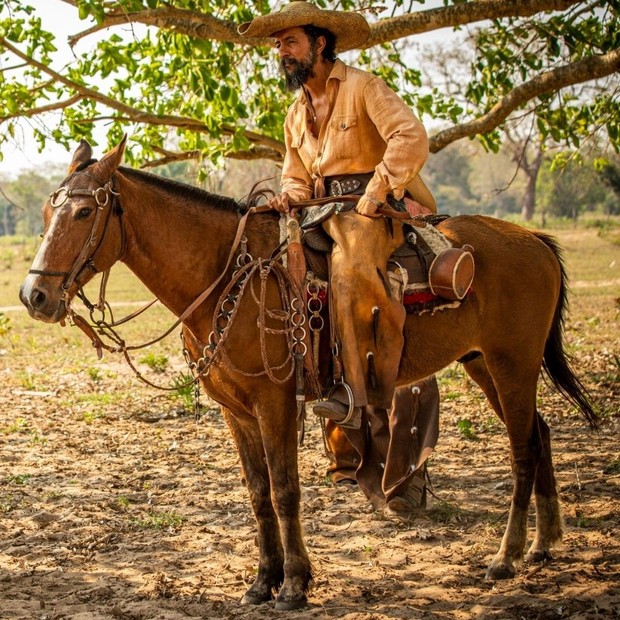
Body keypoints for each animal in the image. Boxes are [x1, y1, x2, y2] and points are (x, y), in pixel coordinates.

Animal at [21, 137, 600, 612]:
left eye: (81, 212)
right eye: (48, 209)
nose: (34, 296)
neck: (227, 275)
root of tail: (534, 240)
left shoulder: (274, 401)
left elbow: (284, 491)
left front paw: (296, 584)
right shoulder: (236, 412)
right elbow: (257, 493)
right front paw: (262, 581)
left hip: (511, 362)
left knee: (523, 447)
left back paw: (507, 555)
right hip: (483, 363)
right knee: (540, 433)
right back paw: (544, 544)